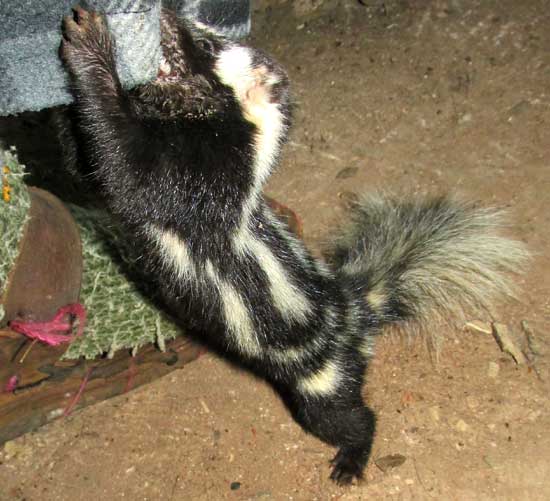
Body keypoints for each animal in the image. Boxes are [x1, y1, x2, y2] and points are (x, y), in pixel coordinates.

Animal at [59, 7, 532, 484]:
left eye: (206, 45)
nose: (170, 16)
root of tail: (354, 308)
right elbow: (90, 167)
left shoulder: (200, 182)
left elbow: (124, 169)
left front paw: (90, 47)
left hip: (322, 375)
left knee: (346, 416)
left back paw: (352, 458)